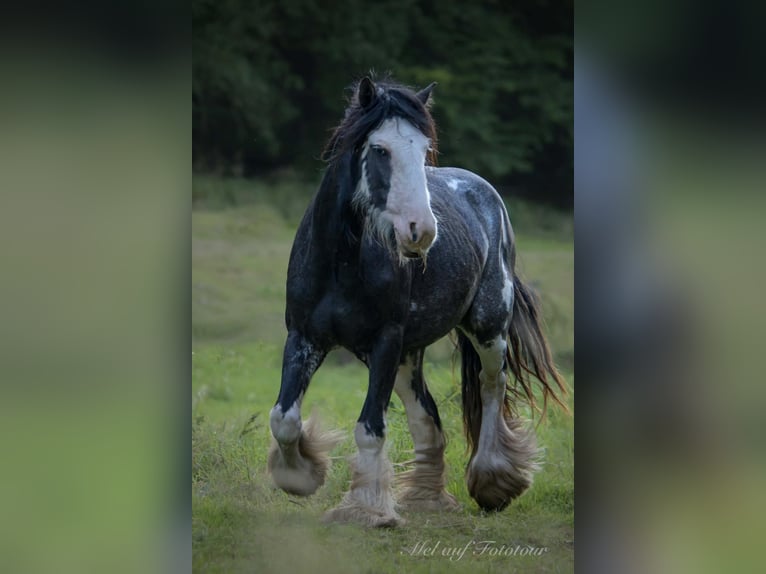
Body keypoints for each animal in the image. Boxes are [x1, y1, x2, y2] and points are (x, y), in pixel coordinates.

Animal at [268, 77, 568, 532]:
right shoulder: (304, 337)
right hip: (409, 354)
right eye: (380, 150)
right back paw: (428, 498)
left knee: (492, 386)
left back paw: (492, 481)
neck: (343, 261)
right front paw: (303, 477)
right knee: (427, 418)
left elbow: (370, 428)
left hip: (487, 328)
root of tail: (485, 193)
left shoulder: (385, 342)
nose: (421, 231)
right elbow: (284, 418)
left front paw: (367, 510)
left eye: (424, 150)